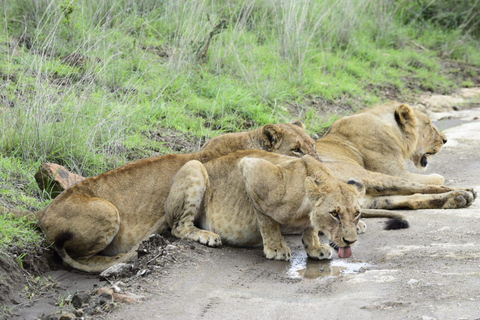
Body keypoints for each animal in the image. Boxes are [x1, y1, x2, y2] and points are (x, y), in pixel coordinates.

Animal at [4, 122, 318, 272]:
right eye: (297, 149)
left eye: (313, 145)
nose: (317, 161)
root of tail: (44, 210)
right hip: (108, 211)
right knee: (81, 257)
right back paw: (123, 258)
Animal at [163, 150, 362, 260]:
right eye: (334, 214)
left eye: (357, 214)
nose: (351, 241)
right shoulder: (251, 167)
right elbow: (267, 220)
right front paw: (277, 248)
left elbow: (311, 228)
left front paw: (314, 247)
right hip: (195, 166)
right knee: (179, 227)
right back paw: (207, 236)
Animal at [316, 102, 476, 212]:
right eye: (429, 124)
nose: (445, 140)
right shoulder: (395, 172)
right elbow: (438, 178)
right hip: (373, 177)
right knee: (421, 188)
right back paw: (466, 192)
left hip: (369, 200)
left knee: (412, 198)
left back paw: (459, 198)